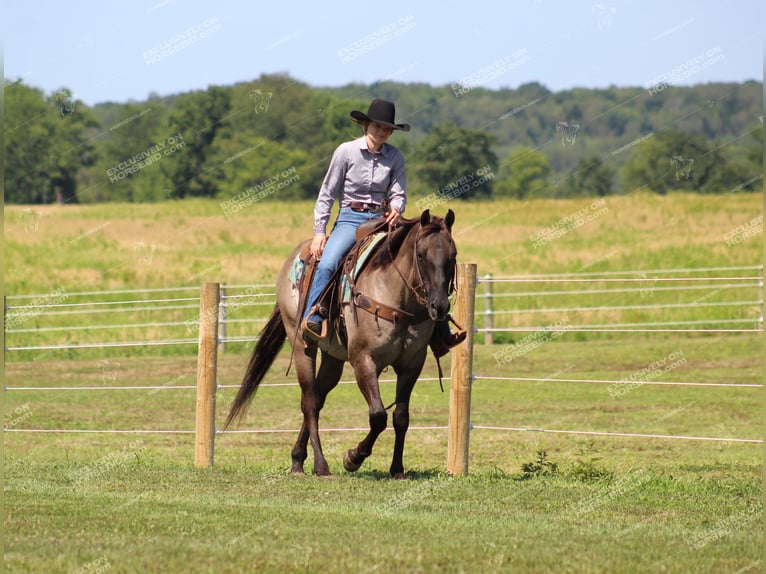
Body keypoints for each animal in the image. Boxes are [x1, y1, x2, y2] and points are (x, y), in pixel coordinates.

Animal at [225, 209, 460, 480]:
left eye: (453, 256)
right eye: (421, 255)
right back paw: (320, 465)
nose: (439, 306)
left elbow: (401, 417)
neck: (396, 298)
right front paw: (353, 458)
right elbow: (378, 416)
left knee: (318, 397)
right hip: (302, 346)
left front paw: (397, 469)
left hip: (333, 358)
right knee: (309, 402)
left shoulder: (412, 365)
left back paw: (298, 459)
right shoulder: (363, 361)